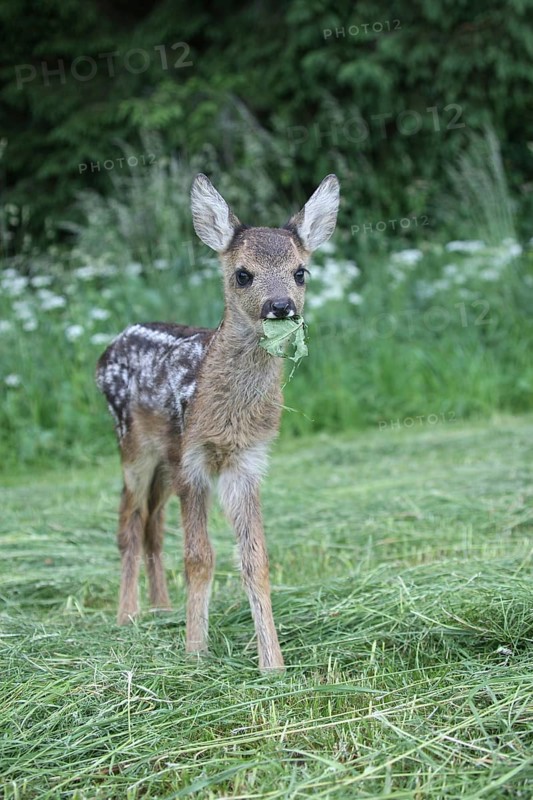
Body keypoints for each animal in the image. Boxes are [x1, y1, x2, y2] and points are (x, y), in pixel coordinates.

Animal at [95, 172, 340, 670]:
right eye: (242, 273)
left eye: (300, 271)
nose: (280, 305)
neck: (228, 413)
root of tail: (104, 352)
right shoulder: (193, 459)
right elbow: (198, 558)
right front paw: (195, 652)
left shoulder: (246, 462)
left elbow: (254, 559)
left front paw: (272, 664)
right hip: (133, 446)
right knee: (129, 522)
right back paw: (128, 617)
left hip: (164, 461)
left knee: (151, 525)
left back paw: (161, 608)